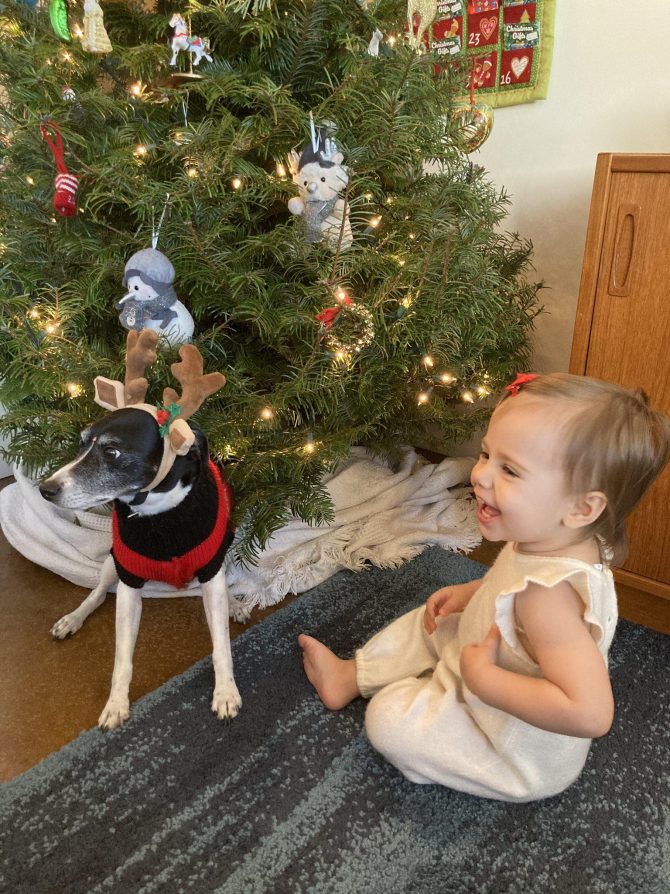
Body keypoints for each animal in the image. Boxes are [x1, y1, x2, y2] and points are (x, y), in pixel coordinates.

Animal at [38, 332, 247, 732]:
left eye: (112, 452)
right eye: (81, 443)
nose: (45, 489)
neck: (158, 515)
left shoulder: (211, 570)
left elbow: (221, 646)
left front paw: (226, 692)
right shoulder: (129, 580)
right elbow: (122, 657)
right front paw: (116, 704)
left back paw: (235, 605)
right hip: (111, 564)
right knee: (97, 594)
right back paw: (73, 618)